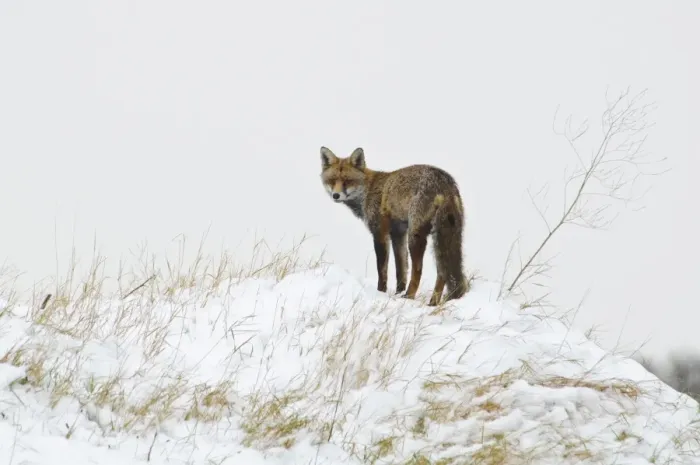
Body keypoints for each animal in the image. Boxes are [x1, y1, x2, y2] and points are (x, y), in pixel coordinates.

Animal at [319, 146, 470, 306]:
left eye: (347, 181)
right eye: (332, 180)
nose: (336, 195)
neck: (368, 190)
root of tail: (444, 181)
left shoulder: (380, 233)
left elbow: (382, 270)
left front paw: (381, 293)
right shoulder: (398, 234)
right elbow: (401, 269)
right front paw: (398, 292)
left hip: (416, 237)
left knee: (419, 270)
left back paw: (410, 296)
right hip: (448, 236)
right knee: (443, 272)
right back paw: (432, 303)